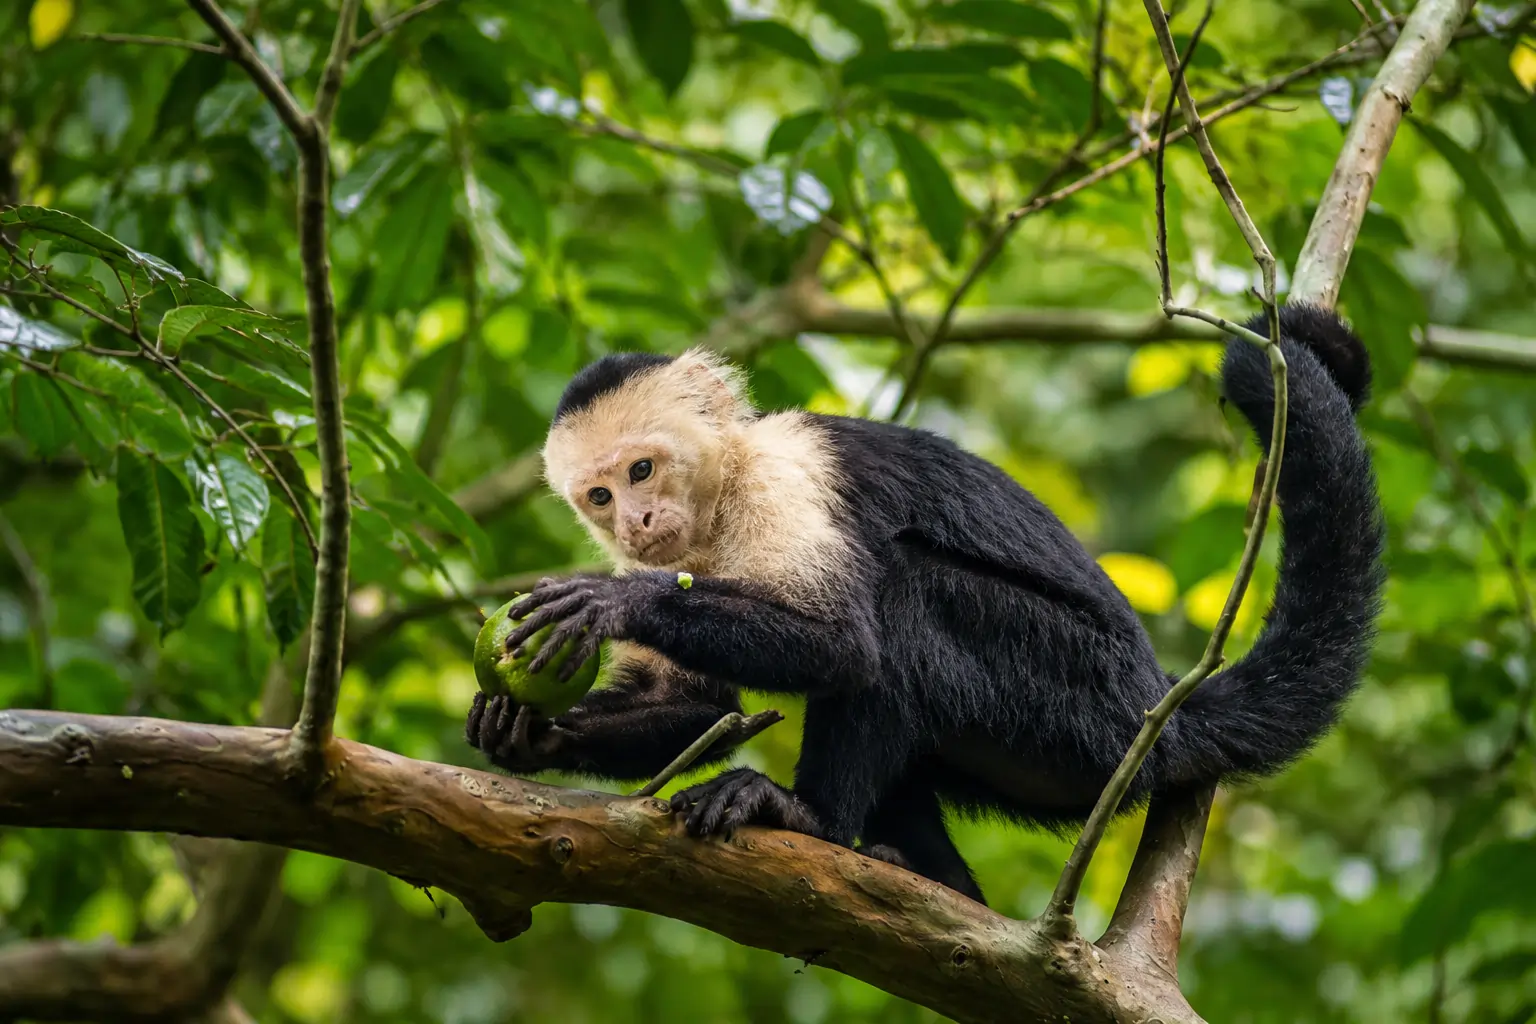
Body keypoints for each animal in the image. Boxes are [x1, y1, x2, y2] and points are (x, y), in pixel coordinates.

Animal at [464, 304, 1384, 905]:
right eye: (598, 496)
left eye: (643, 470)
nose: (638, 522)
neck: (721, 504)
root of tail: (1161, 705)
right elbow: (693, 705)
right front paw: (526, 731)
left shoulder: (789, 478)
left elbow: (844, 646)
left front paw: (614, 601)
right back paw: (937, 883)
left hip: (1083, 705)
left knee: (904, 596)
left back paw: (812, 820)